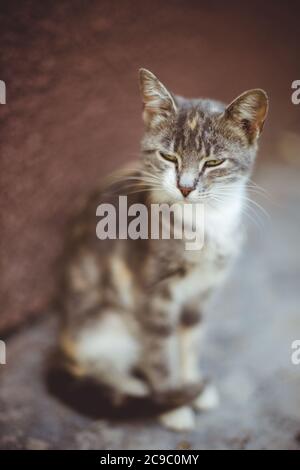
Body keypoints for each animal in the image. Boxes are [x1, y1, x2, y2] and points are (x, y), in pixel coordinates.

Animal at [57, 68, 268, 432]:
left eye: (213, 162)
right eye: (168, 156)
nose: (185, 187)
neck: (205, 222)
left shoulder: (203, 290)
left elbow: (190, 340)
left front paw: (192, 385)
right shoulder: (153, 293)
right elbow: (159, 349)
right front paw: (172, 404)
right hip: (106, 320)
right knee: (98, 362)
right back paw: (136, 388)